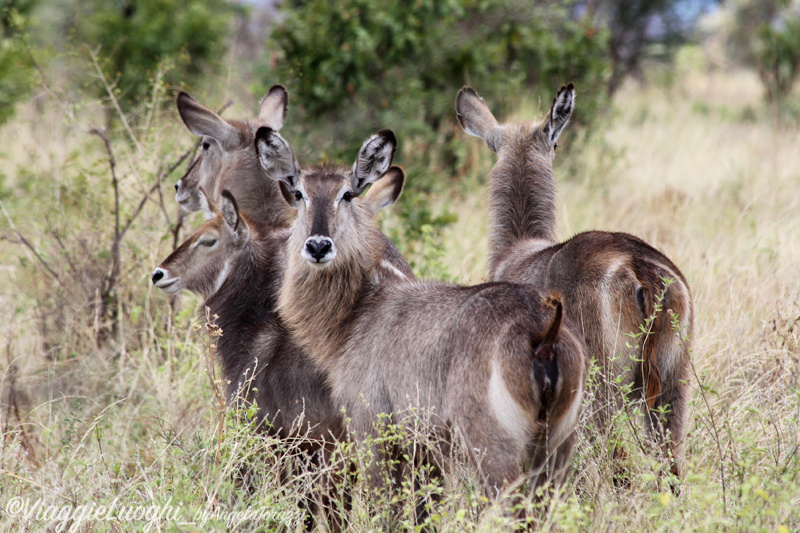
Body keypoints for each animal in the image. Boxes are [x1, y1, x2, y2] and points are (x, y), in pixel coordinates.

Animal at [255, 125, 588, 498]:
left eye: (348, 194)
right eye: (299, 193)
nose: (317, 246)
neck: (359, 311)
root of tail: (542, 330)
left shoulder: (372, 432)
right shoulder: (424, 452)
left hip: (493, 450)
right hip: (556, 447)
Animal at [456, 82, 692, 478]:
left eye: (556, 145)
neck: (516, 250)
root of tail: (638, 267)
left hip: (600, 389)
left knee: (615, 461)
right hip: (673, 386)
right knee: (670, 462)